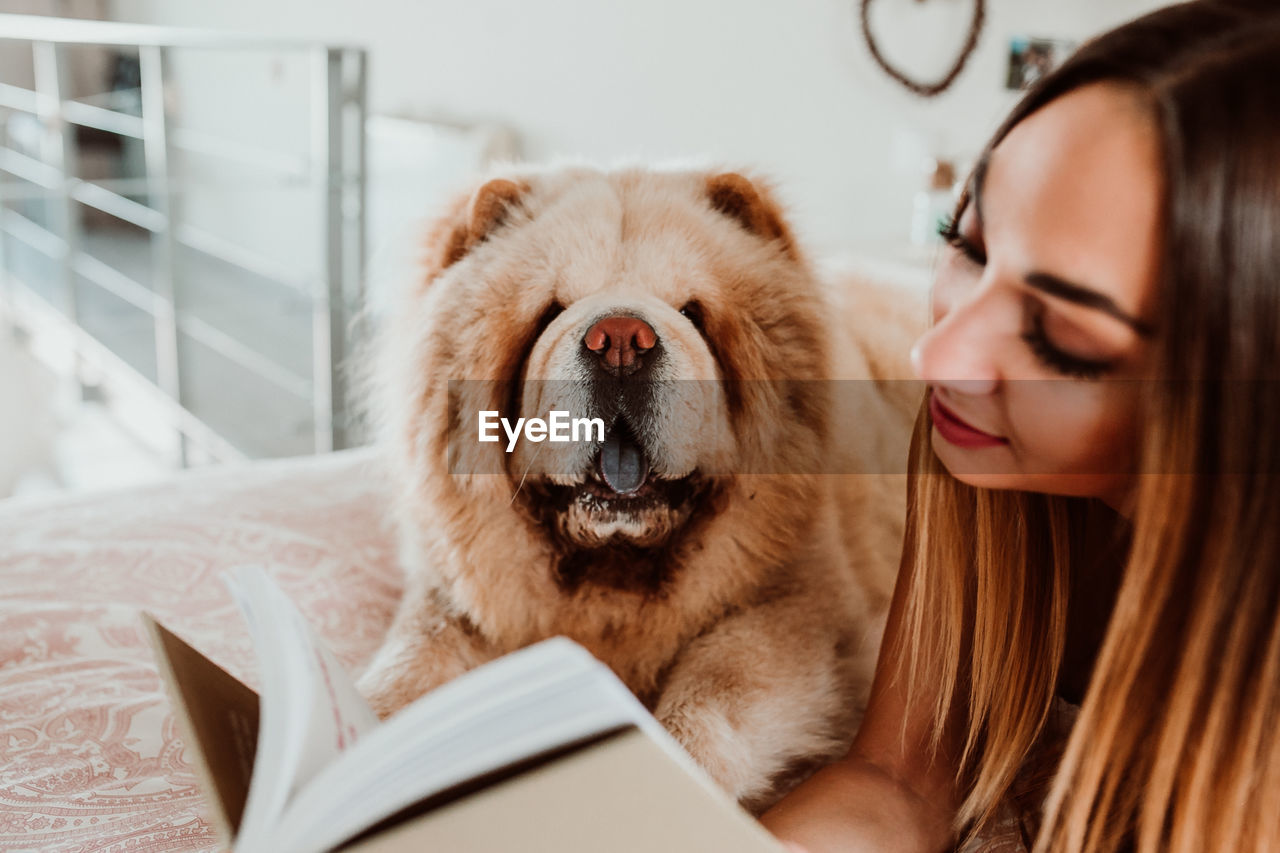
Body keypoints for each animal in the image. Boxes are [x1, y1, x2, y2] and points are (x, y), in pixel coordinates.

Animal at [355, 162, 926, 809]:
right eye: (549, 312)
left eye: (694, 312)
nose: (622, 339)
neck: (614, 578)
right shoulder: (453, 603)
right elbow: (404, 674)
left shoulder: (798, 610)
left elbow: (714, 690)